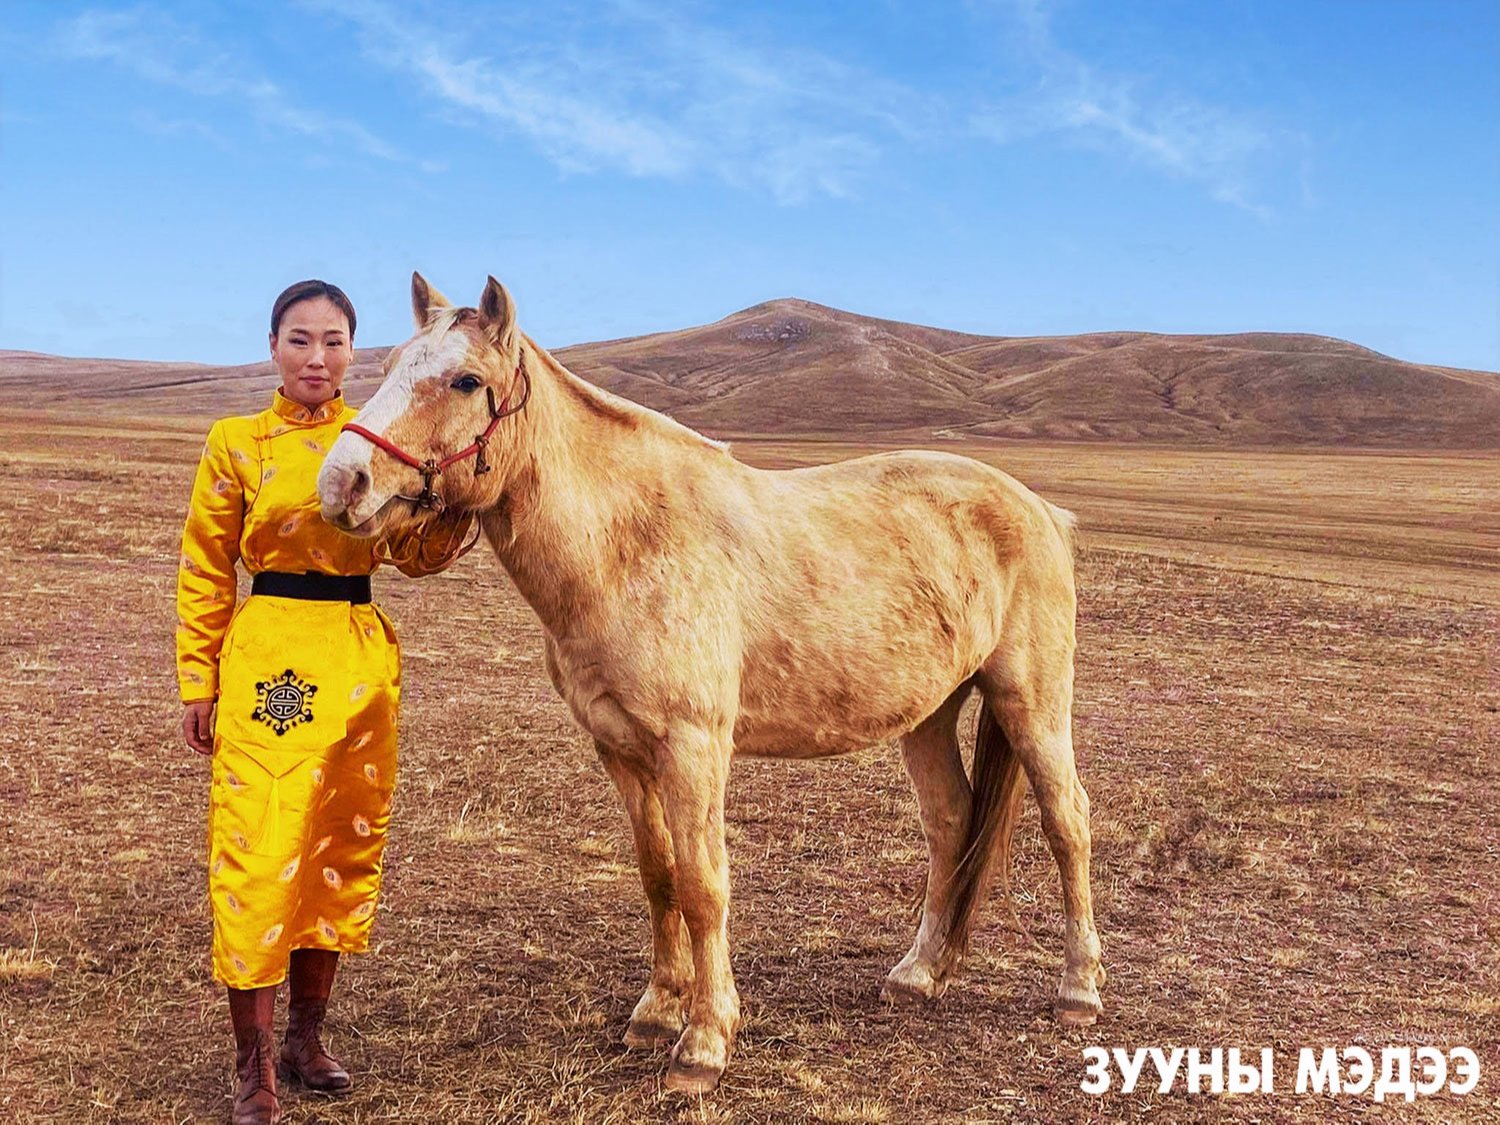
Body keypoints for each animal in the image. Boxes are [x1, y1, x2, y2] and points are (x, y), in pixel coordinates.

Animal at [316, 277, 1110, 1098]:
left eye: (467, 381)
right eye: (391, 364)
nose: (342, 483)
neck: (626, 544)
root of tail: (1040, 508)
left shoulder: (693, 748)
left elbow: (703, 885)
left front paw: (703, 1042)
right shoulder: (620, 748)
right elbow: (659, 876)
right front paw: (657, 1011)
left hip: (1031, 701)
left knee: (1069, 823)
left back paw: (1078, 990)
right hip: (930, 712)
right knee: (952, 821)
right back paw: (918, 973)